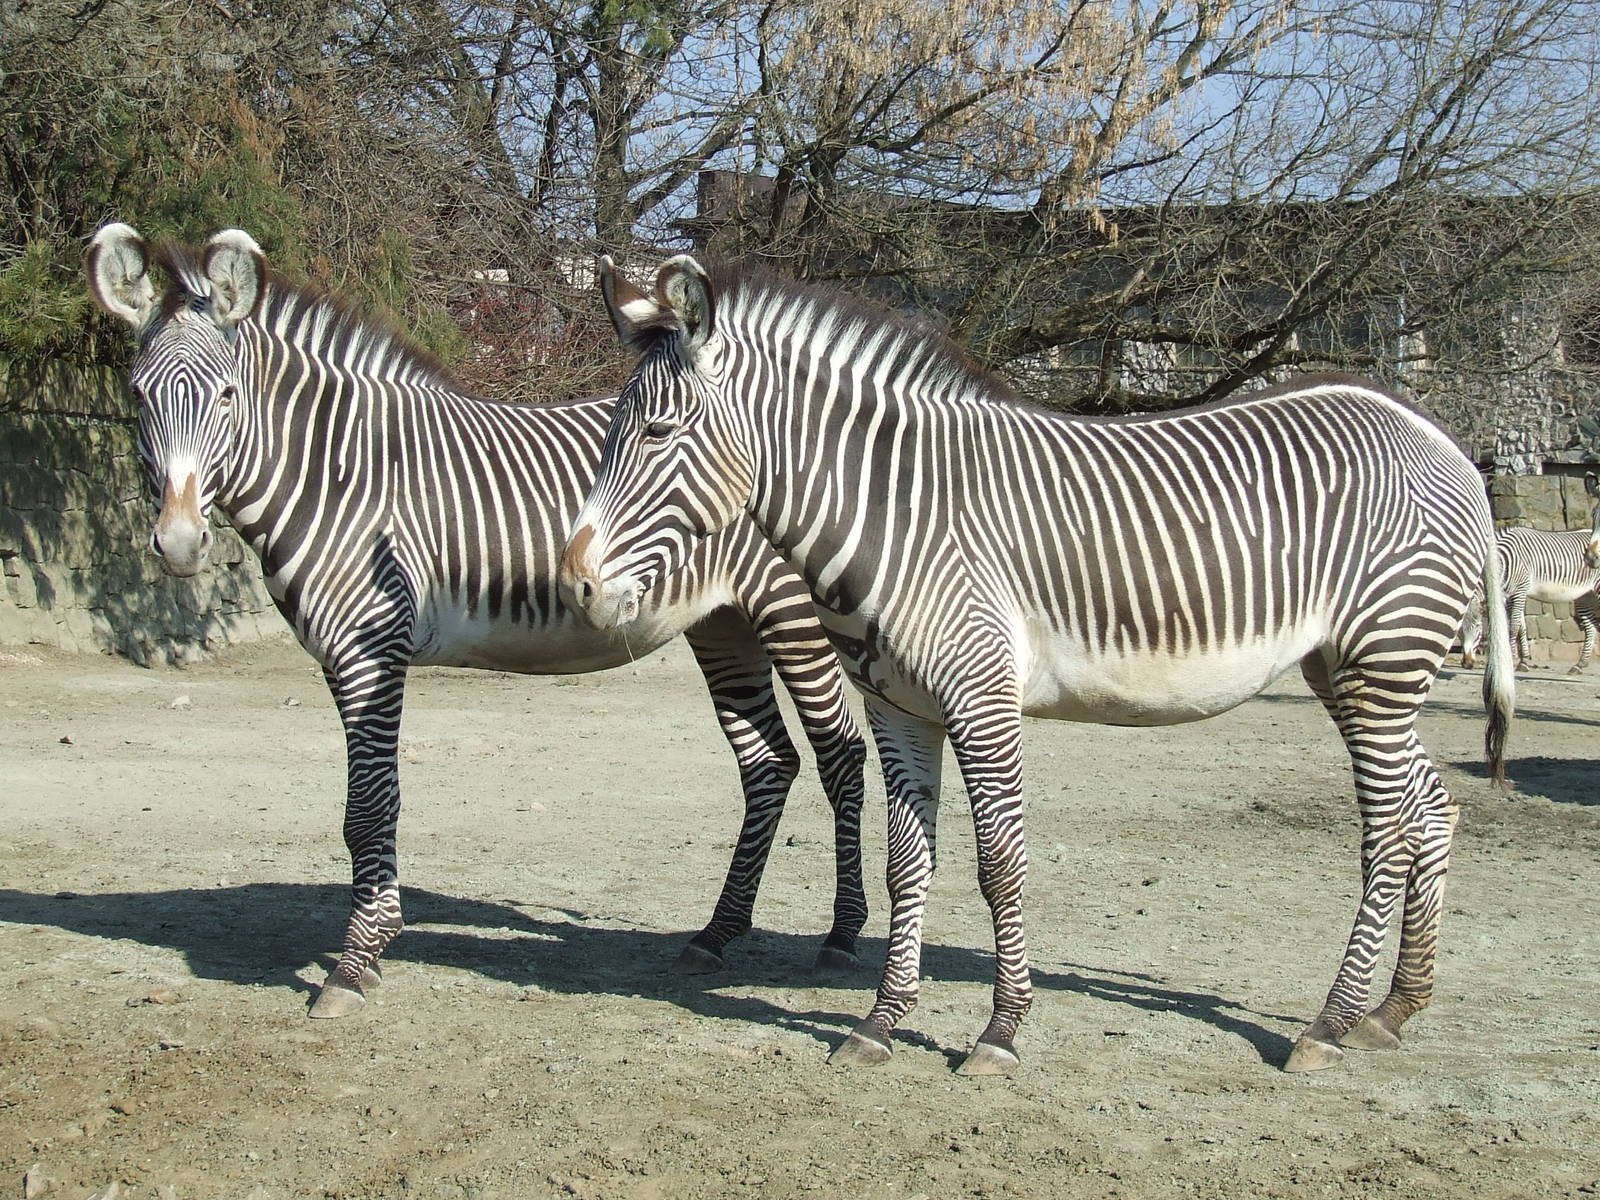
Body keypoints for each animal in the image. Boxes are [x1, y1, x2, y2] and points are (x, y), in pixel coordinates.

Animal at [84, 224, 869, 1018]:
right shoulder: (339, 657)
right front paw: (372, 944)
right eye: (137, 395)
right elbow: (363, 811)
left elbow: (370, 805)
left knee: (840, 755)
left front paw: (354, 963)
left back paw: (840, 936)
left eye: (225, 395)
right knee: (768, 764)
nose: (181, 544)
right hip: (723, 625)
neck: (333, 473)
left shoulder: (371, 648)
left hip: (794, 616)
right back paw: (715, 934)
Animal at [559, 255, 1515, 1077]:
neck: (901, 512)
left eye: (658, 432)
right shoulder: (898, 708)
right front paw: (881, 1022)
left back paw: (1329, 1021)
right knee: (1434, 809)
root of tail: (1440, 439)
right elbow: (910, 864)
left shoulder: (982, 702)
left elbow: (1000, 865)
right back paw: (1394, 1009)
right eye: (609, 436)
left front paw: (1000, 1030)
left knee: (1388, 832)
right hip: (1349, 670)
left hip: (1382, 661)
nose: (577, 586)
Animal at [1460, 472, 1600, 672]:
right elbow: (1522, 627)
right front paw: (1523, 661)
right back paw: (1580, 665)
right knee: (1591, 626)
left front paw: (1513, 660)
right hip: (1584, 594)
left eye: (1478, 627)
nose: (1466, 664)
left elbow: (1513, 626)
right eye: (1459, 632)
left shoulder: (1519, 590)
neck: (1504, 560)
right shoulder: (1509, 595)